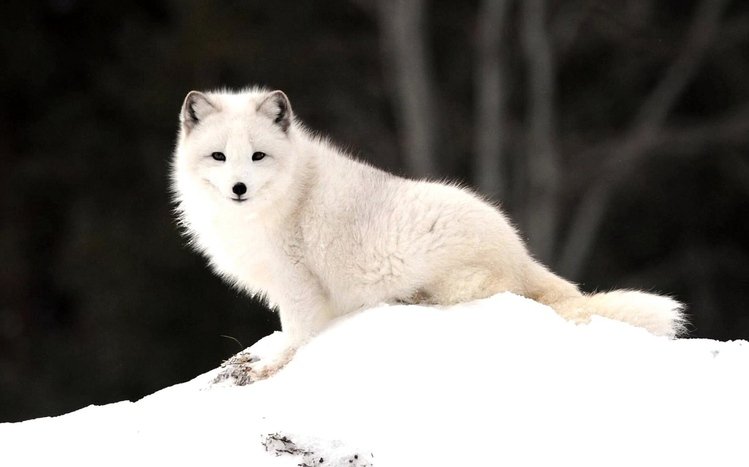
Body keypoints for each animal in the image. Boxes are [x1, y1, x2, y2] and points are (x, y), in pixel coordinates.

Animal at [171, 86, 686, 381]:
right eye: (219, 156)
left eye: (258, 156)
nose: (238, 188)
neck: (287, 193)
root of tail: (520, 250)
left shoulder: (297, 282)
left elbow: (296, 334)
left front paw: (269, 366)